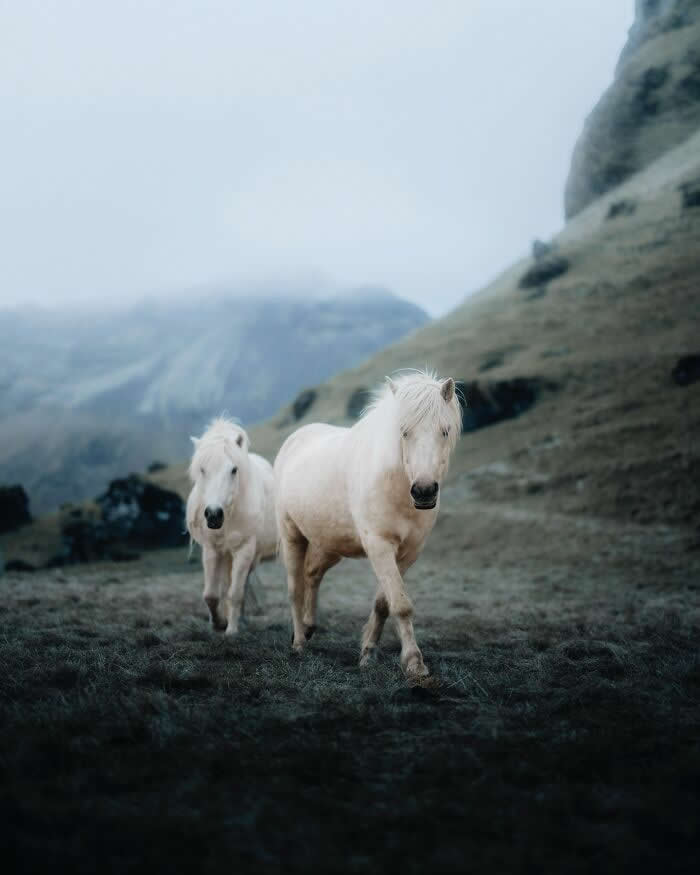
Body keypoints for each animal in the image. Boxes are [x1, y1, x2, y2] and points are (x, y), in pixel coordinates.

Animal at [186, 417, 277, 635]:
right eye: (202, 469)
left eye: (234, 470)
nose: (213, 515)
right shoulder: (211, 549)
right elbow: (211, 594)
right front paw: (218, 623)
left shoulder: (244, 550)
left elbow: (235, 593)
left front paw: (232, 630)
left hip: (249, 557)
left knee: (241, 586)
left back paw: (240, 621)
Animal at [274, 370, 462, 676]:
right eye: (404, 431)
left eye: (444, 431)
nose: (424, 492)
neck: (394, 484)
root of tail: (296, 439)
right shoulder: (379, 545)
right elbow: (401, 604)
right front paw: (414, 663)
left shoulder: (409, 552)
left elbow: (384, 603)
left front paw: (368, 654)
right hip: (292, 535)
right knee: (295, 588)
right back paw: (299, 642)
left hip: (330, 544)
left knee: (312, 574)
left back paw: (309, 627)